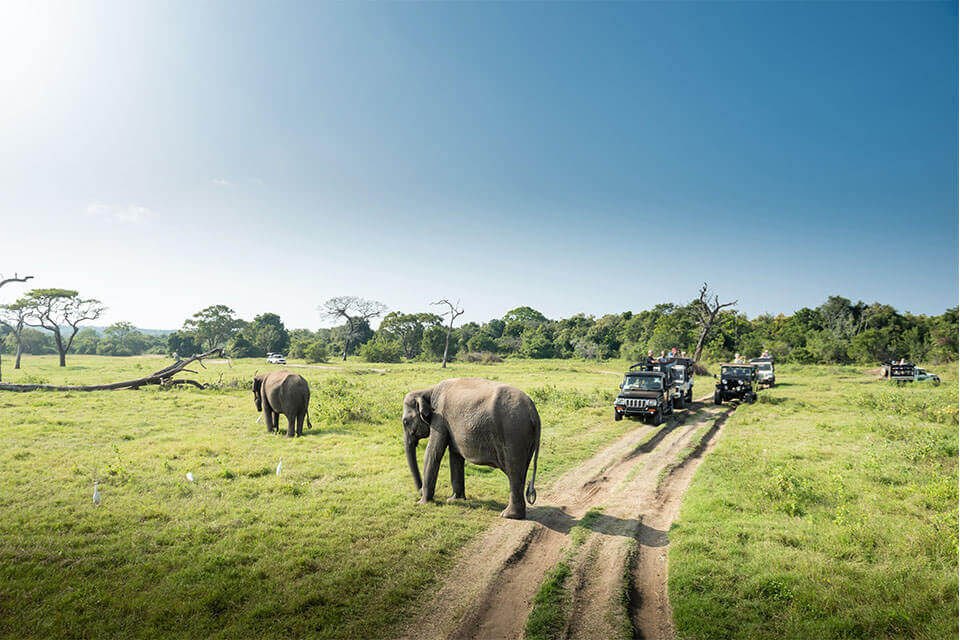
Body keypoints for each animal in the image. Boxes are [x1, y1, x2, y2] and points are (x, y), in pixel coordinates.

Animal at [402, 378, 541, 519]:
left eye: (405, 422)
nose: (419, 491)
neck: (427, 391)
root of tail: (533, 411)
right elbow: (455, 455)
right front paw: (454, 500)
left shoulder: (439, 418)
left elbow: (433, 452)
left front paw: (422, 503)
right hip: (525, 437)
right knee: (521, 472)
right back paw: (517, 515)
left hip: (514, 433)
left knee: (513, 470)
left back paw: (508, 515)